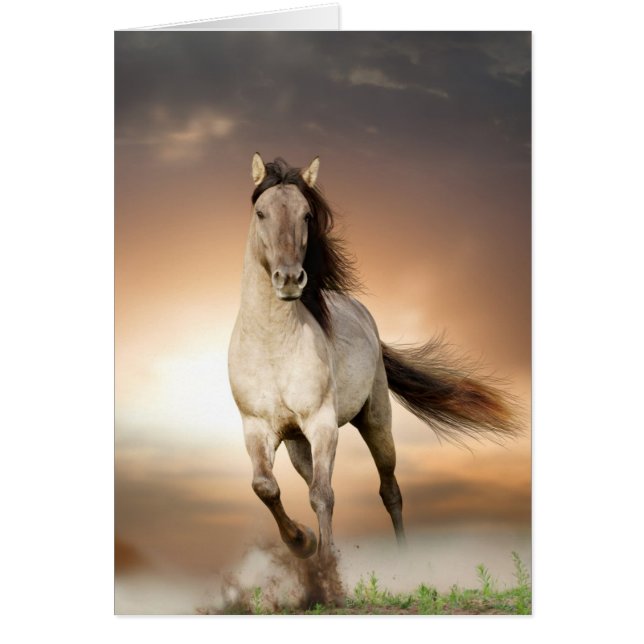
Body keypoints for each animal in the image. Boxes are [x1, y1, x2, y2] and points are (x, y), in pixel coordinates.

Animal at [228, 153, 519, 564]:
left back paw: (404, 558)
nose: (289, 279)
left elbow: (323, 495)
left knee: (389, 489)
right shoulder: (256, 427)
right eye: (260, 212)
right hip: (298, 443)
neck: (272, 348)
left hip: (376, 421)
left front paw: (326, 566)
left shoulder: (322, 424)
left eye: (306, 215)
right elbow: (265, 487)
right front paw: (303, 542)